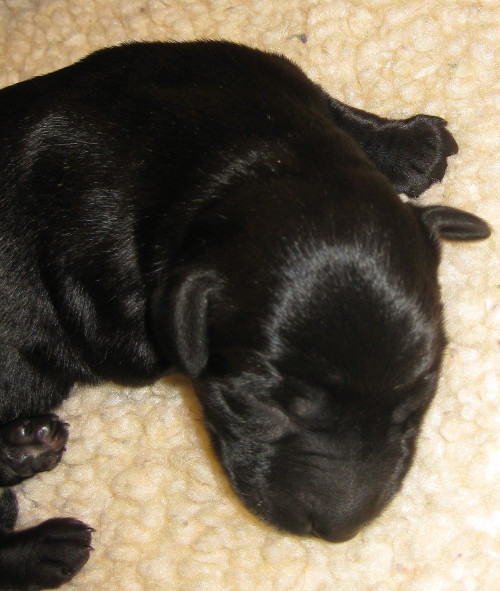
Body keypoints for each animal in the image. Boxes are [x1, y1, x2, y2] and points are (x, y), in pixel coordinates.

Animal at [0, 40, 490, 588]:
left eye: (418, 397)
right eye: (260, 404)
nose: (339, 530)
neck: (243, 158)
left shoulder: (256, 70)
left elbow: (335, 109)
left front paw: (410, 142)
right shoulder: (102, 305)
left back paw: (24, 447)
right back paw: (43, 544)